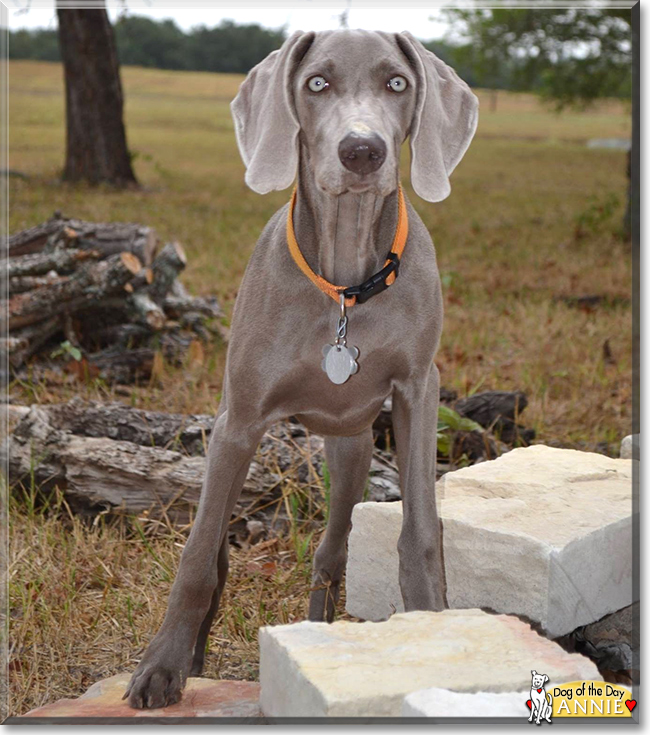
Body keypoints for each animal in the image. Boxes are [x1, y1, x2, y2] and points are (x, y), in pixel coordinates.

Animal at [123, 27, 476, 708]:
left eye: (397, 82)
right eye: (317, 82)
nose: (362, 150)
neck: (344, 283)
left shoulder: (419, 389)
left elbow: (420, 532)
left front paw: (429, 631)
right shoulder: (239, 419)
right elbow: (198, 555)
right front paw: (164, 664)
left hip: (355, 450)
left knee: (329, 554)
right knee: (221, 547)